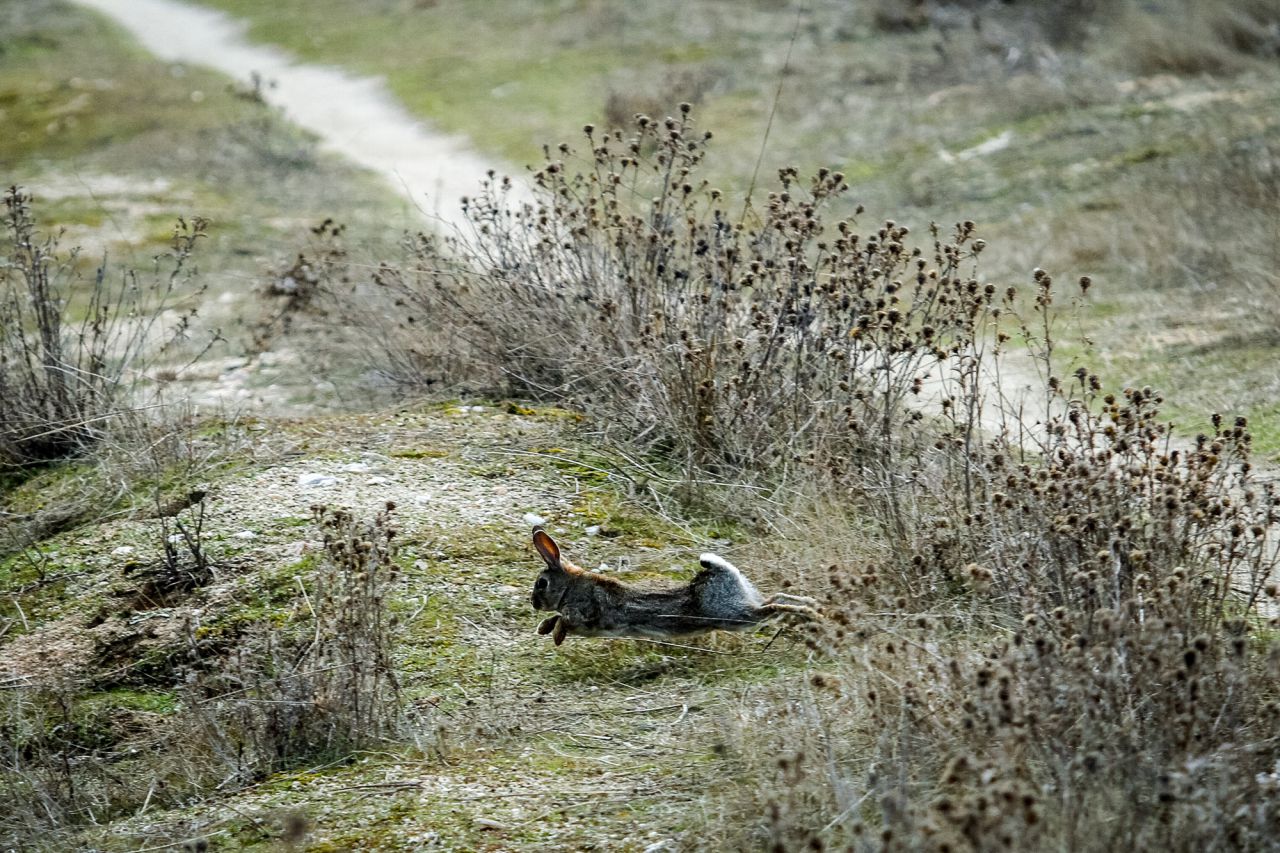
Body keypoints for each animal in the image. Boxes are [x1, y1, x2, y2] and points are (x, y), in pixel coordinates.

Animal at [529, 528, 819, 645]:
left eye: (542, 583)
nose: (533, 603)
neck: (570, 586)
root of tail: (719, 571)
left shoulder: (584, 611)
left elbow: (564, 619)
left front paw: (556, 637)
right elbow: (556, 617)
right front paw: (543, 629)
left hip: (732, 616)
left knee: (772, 608)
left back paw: (812, 613)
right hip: (742, 601)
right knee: (775, 598)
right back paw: (813, 605)